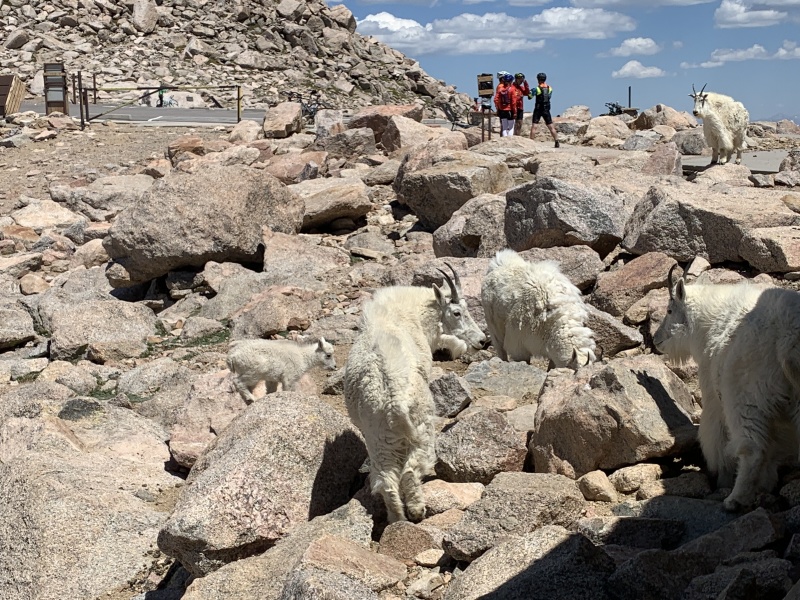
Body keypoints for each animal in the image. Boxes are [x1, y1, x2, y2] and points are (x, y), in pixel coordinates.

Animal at [343, 264, 486, 522]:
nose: (482, 340)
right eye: (457, 312)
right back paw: (418, 511)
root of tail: (394, 400)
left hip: (377, 436)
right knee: (410, 470)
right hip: (421, 428)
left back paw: (397, 519)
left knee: (387, 481)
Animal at [653, 265, 800, 510]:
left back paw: (735, 500)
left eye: (669, 310)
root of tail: (787, 339)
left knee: (752, 448)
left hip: (745, 397)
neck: (709, 324)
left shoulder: (713, 394)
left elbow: (716, 436)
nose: (656, 340)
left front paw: (723, 478)